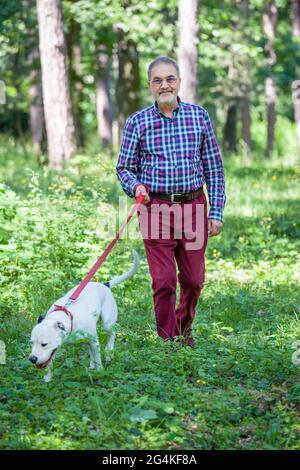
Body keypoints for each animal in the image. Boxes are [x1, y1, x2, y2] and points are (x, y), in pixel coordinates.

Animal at [29, 252, 139, 380]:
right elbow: (49, 363)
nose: (32, 359)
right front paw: (47, 380)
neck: (68, 318)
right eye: (31, 343)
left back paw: (108, 352)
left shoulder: (94, 342)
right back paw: (91, 365)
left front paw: (100, 373)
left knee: (112, 334)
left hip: (107, 323)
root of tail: (105, 285)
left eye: (44, 344)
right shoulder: (54, 350)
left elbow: (98, 359)